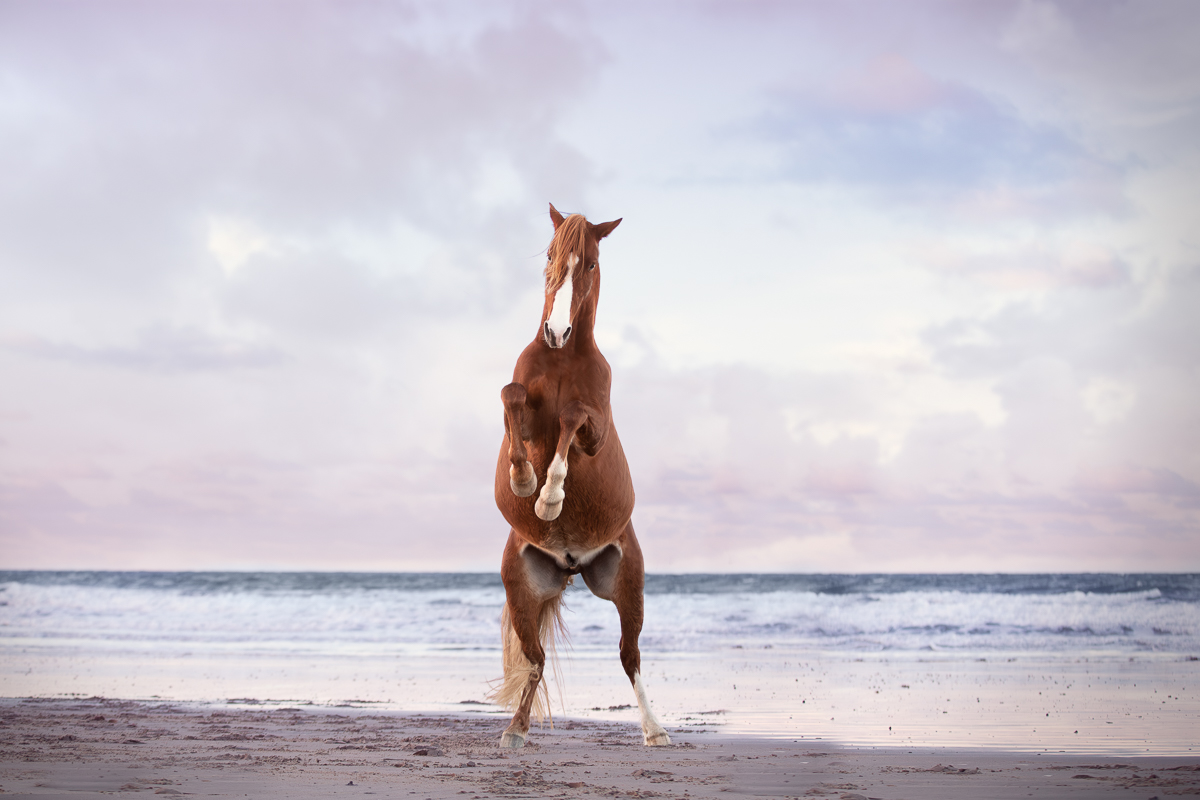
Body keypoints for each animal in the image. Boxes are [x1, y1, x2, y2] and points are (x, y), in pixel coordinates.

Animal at [490, 203, 671, 749]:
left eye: (589, 262)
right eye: (550, 255)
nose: (555, 332)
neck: (562, 360)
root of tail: (571, 565)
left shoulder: (595, 433)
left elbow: (572, 418)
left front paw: (549, 496)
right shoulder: (520, 408)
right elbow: (510, 395)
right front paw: (523, 481)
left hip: (626, 586)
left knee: (630, 657)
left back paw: (655, 730)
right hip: (523, 592)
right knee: (535, 661)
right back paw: (515, 730)